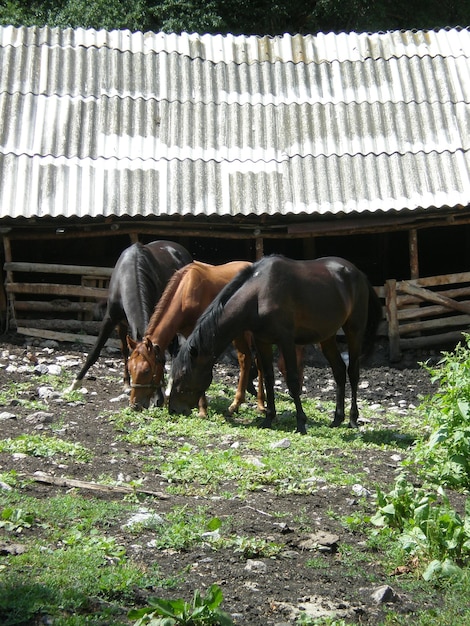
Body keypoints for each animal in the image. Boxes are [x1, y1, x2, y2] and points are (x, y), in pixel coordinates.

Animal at [66, 236, 191, 402]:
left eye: (161, 363)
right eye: (137, 368)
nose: (157, 400)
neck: (129, 274)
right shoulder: (111, 319)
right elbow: (96, 352)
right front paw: (74, 384)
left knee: (175, 349)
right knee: (126, 349)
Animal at [126, 260, 268, 414]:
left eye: (146, 371)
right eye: (129, 368)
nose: (134, 405)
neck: (185, 294)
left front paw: (202, 409)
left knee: (257, 360)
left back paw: (260, 403)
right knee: (245, 359)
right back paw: (239, 403)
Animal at [169, 256, 382, 432]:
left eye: (183, 375)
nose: (173, 409)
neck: (259, 293)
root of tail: (358, 273)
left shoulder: (286, 341)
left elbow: (293, 381)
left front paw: (300, 422)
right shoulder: (262, 341)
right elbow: (269, 378)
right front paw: (269, 418)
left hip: (354, 331)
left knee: (353, 372)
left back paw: (353, 419)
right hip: (327, 337)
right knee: (338, 371)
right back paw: (337, 419)